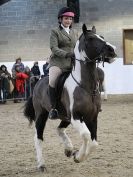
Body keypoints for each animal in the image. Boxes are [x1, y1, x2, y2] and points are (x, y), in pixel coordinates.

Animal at [23, 23, 116, 171]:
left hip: (65, 117)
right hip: (42, 115)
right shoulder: (76, 116)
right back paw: (41, 164)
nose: (112, 50)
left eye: (101, 36)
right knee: (38, 137)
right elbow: (86, 135)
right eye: (90, 38)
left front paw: (76, 155)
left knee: (59, 129)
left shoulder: (92, 117)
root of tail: (38, 83)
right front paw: (78, 156)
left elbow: (93, 142)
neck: (85, 86)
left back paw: (68, 149)